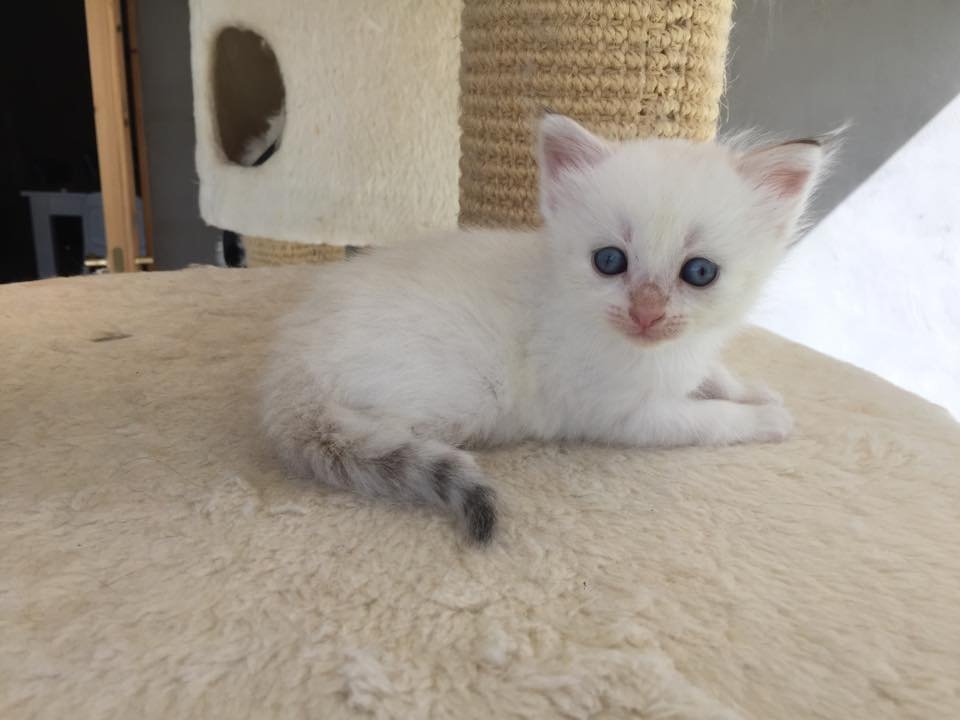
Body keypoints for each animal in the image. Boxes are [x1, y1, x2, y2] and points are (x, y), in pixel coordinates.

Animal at [261, 113, 836, 544]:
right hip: (456, 394)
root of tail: (287, 376)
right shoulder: (620, 415)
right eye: (610, 261)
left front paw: (752, 389)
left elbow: (711, 374)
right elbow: (706, 420)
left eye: (699, 272)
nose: (646, 312)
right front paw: (766, 419)